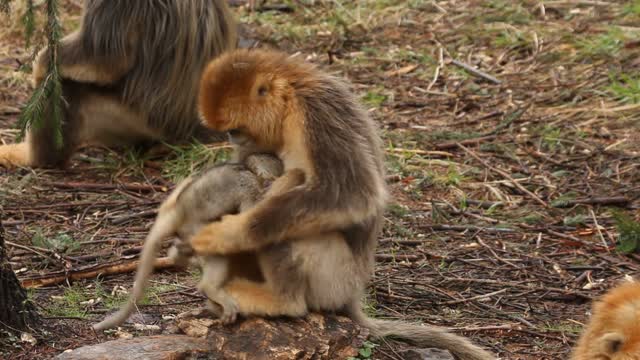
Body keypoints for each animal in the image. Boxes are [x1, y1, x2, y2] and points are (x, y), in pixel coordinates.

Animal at [92, 133, 288, 332]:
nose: (276, 181)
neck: (248, 169)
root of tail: (178, 211)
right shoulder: (249, 186)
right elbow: (248, 215)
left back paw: (179, 254)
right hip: (196, 228)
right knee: (216, 247)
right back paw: (208, 286)